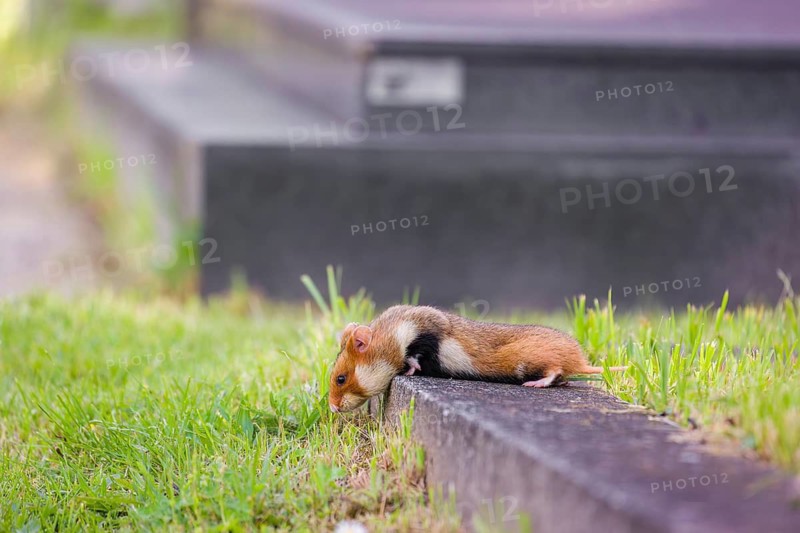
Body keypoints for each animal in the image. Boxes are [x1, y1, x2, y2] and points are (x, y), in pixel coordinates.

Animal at [328, 305, 626, 412]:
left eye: (341, 378)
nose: (331, 408)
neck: (392, 330)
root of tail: (581, 361)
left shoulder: (426, 332)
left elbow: (415, 356)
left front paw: (409, 370)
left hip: (536, 358)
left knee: (554, 370)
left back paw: (536, 384)